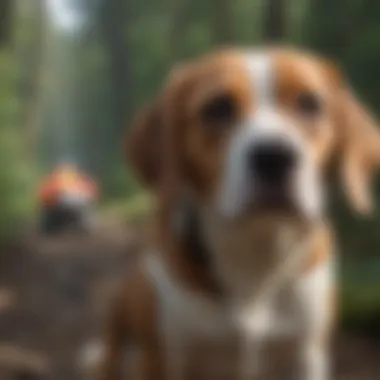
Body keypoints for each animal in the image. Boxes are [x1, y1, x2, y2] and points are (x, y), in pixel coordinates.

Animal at [96, 46, 380, 380]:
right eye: (218, 107)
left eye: (310, 103)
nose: (274, 156)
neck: (256, 252)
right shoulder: (162, 359)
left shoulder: (306, 355)